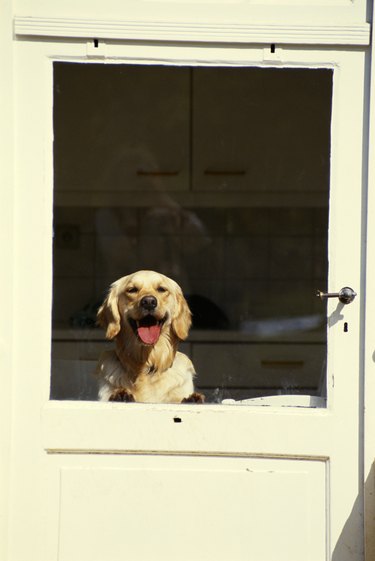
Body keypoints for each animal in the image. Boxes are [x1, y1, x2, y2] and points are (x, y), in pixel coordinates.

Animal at [95, 268, 204, 402]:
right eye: (132, 290)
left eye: (161, 289)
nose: (149, 302)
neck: (147, 366)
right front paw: (120, 394)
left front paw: (191, 398)